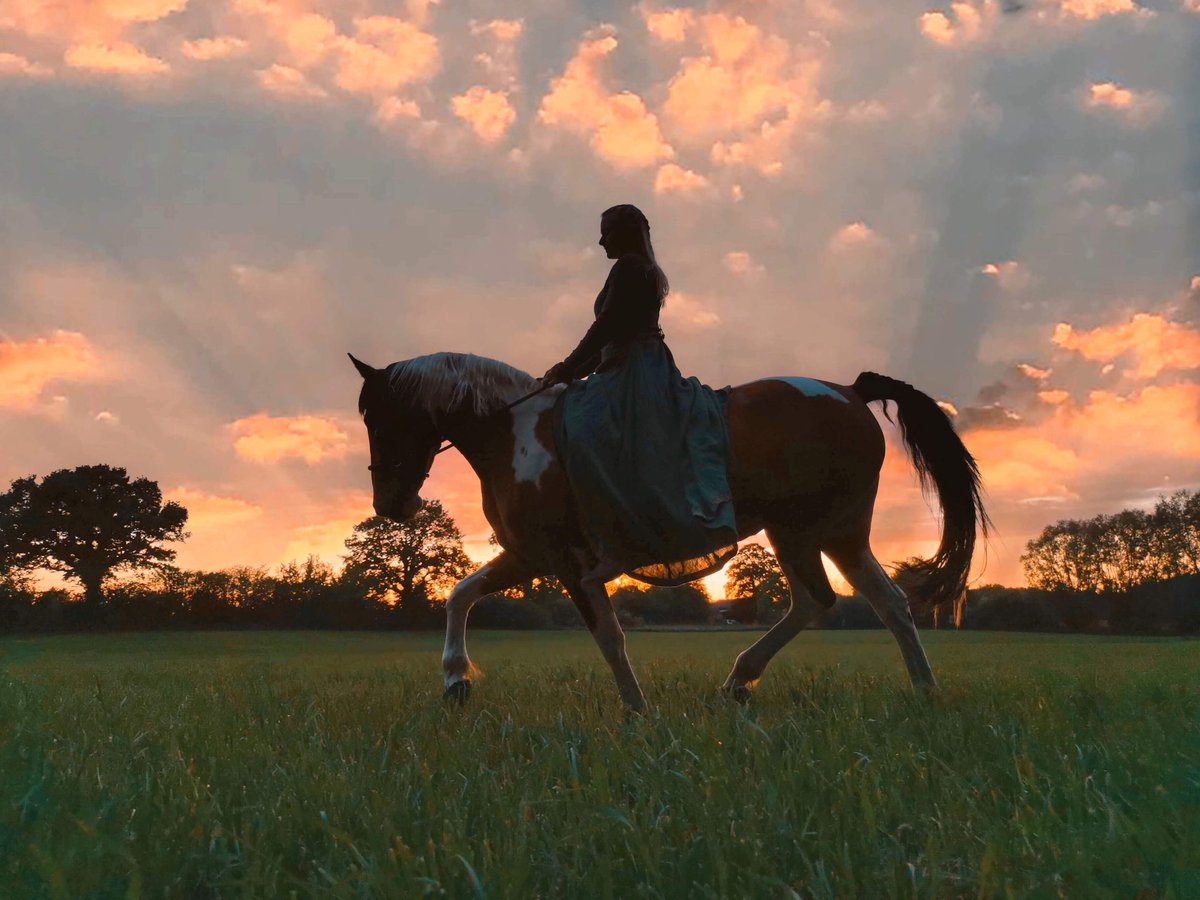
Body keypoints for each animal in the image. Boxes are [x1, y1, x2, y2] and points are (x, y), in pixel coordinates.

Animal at [348, 352, 984, 710]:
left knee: (831, 600)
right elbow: (459, 595)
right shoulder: (530, 557)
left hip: (810, 530)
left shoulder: (564, 562)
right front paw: (455, 683)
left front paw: (636, 711)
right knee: (877, 602)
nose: (391, 504)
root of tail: (849, 391)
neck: (518, 435)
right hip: (828, 533)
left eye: (379, 416)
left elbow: (609, 637)